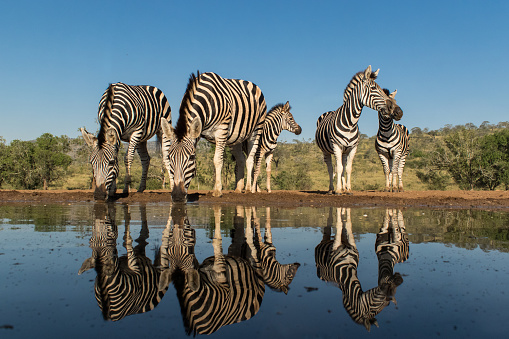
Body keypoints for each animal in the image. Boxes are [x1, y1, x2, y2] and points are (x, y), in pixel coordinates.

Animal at [161, 70, 268, 201]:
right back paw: (238, 189)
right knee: (241, 159)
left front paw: (217, 190)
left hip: (256, 129)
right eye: (169, 157)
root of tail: (252, 84)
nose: (177, 196)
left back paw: (248, 189)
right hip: (236, 138)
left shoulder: (221, 130)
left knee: (250, 159)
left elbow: (217, 160)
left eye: (191, 157)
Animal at [314, 65, 392, 197]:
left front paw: (348, 189)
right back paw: (331, 189)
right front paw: (338, 190)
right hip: (326, 151)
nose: (393, 107)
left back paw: (343, 188)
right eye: (373, 88)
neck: (350, 123)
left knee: (341, 166)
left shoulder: (353, 147)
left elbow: (348, 168)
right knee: (331, 168)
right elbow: (339, 169)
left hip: (344, 151)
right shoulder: (337, 146)